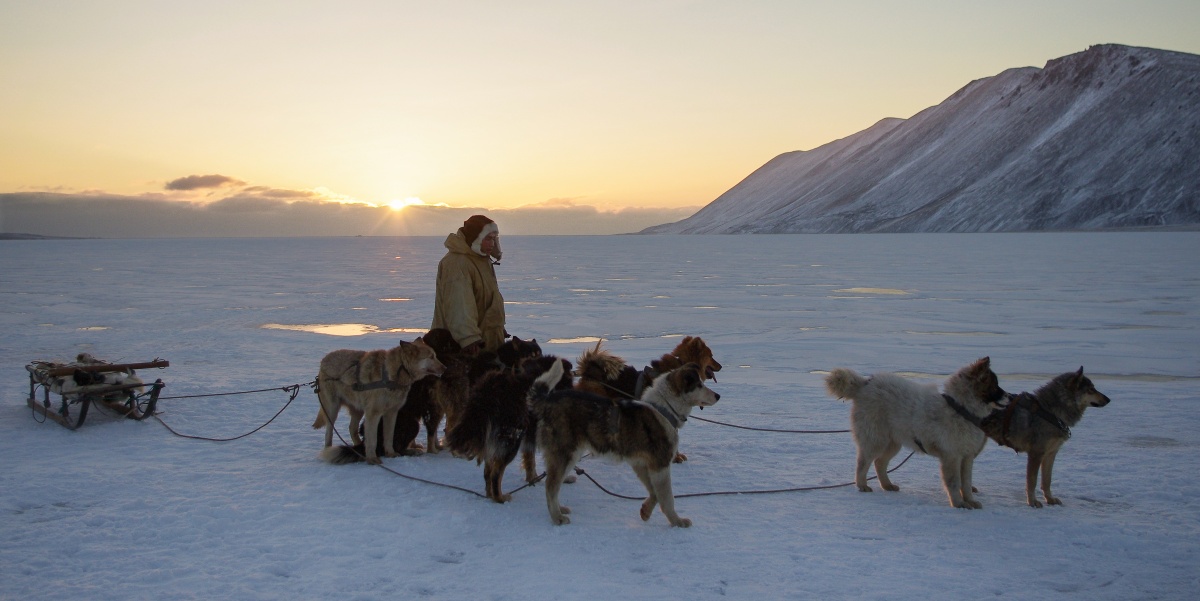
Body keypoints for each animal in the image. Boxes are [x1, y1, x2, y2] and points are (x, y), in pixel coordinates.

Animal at [820, 355, 1008, 506]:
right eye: (994, 386)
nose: (1011, 397)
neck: (959, 408)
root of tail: (865, 384)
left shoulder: (967, 457)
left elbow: (966, 483)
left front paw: (970, 501)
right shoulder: (952, 456)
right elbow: (954, 483)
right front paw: (958, 504)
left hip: (893, 442)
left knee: (879, 463)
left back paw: (887, 485)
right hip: (876, 440)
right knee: (863, 463)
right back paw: (862, 485)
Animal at [979, 364, 1108, 506]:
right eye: (1091, 389)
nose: (1108, 399)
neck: (1051, 412)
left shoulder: (1051, 453)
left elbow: (1047, 480)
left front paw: (1050, 499)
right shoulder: (1036, 453)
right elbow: (1032, 481)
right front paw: (1032, 502)